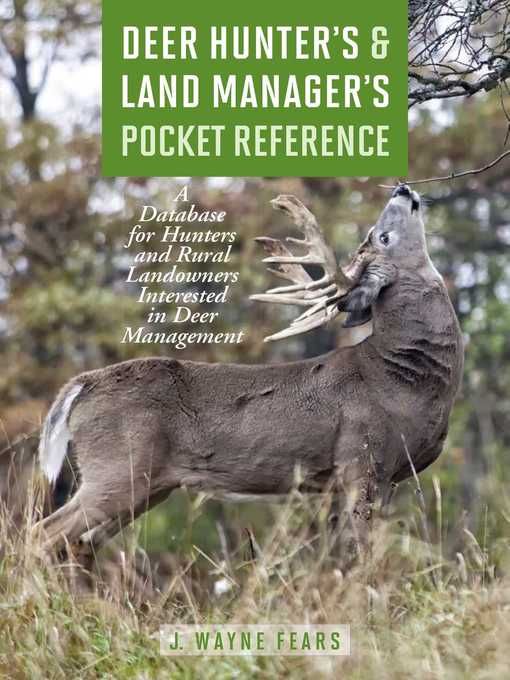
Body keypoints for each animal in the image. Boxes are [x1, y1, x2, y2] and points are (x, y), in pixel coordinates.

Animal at [34, 185, 464, 566]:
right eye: (382, 236)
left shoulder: (381, 477)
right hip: (116, 468)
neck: (398, 376)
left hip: (148, 485)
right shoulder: (362, 460)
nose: (402, 189)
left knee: (78, 545)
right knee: (44, 534)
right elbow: (365, 557)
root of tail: (82, 384)